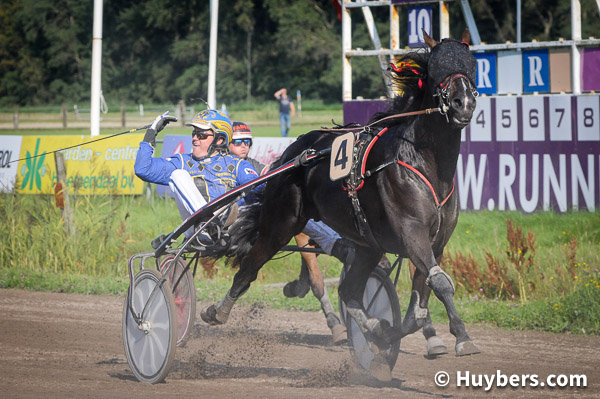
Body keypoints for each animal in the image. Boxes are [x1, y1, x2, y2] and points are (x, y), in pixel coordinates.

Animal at [203, 31, 482, 382]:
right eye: (437, 68)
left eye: (470, 64)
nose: (463, 103)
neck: (424, 162)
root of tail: (294, 152)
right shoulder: (412, 232)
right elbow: (442, 283)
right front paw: (463, 337)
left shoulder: (436, 243)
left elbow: (417, 311)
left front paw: (386, 334)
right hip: (281, 223)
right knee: (249, 268)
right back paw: (218, 311)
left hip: (367, 244)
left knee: (350, 291)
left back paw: (372, 328)